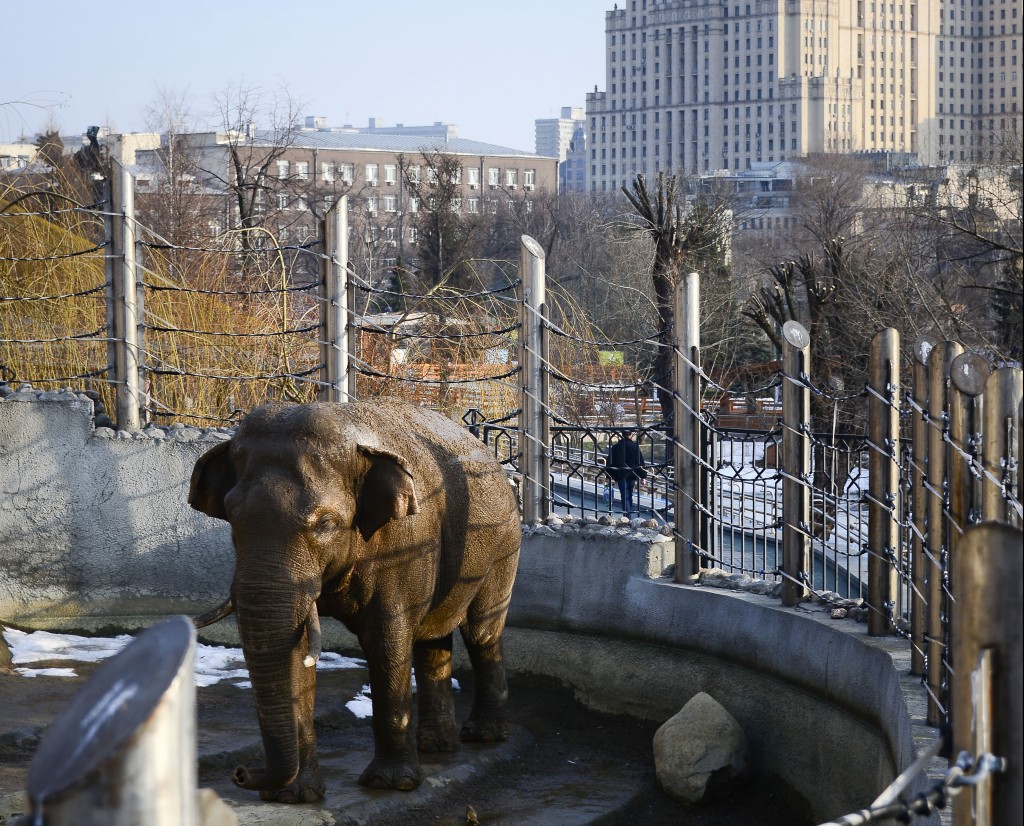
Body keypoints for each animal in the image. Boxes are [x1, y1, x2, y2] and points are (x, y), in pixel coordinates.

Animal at [188, 399, 520, 802]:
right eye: (233, 518)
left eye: (326, 524)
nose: (240, 774)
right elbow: (298, 650)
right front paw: (296, 796)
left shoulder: (405, 541)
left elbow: (386, 642)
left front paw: (391, 784)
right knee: (433, 636)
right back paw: (436, 746)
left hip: (502, 544)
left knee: (482, 632)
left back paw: (484, 736)